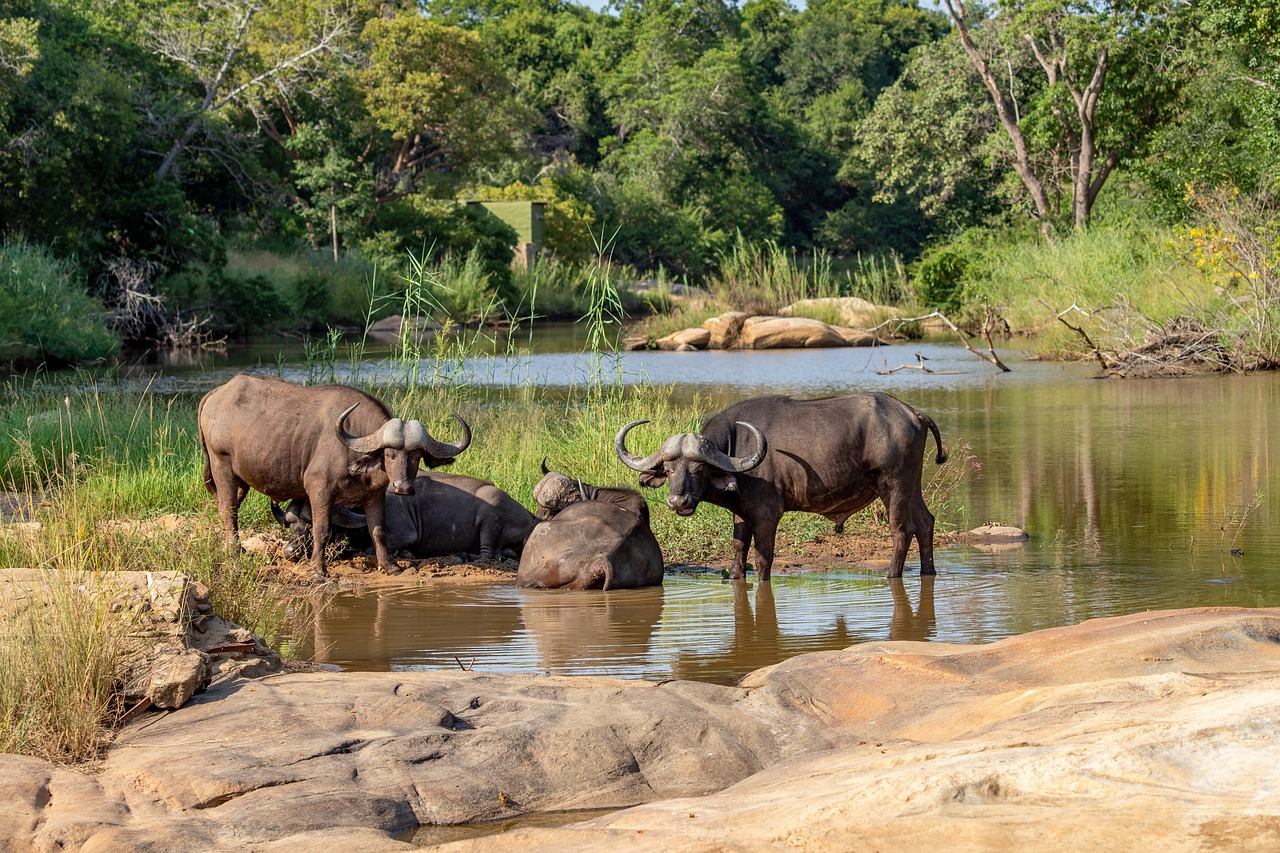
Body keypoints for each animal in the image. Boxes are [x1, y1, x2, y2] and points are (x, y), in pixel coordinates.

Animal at [202, 376, 473, 573]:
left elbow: (378, 530)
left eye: (416, 456)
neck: (353, 451)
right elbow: (322, 529)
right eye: (389, 455)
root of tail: (217, 393)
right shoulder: (319, 490)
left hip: (241, 479)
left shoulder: (375, 495)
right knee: (227, 511)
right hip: (221, 466)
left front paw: (390, 566)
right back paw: (235, 554)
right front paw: (318, 569)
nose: (402, 487)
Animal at [272, 468, 537, 560]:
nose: (289, 551)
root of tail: (529, 516)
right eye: (292, 524)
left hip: (490, 516)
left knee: (488, 554)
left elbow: (369, 550)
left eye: (311, 524)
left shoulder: (403, 534)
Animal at [614, 389, 947, 578]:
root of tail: (912, 413)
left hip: (893, 486)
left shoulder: (767, 515)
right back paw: (927, 571)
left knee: (901, 530)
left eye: (699, 468)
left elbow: (763, 560)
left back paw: (892, 574)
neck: (737, 448)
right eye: (669, 469)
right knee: (925, 522)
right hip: (912, 485)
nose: (678, 502)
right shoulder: (741, 515)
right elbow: (738, 551)